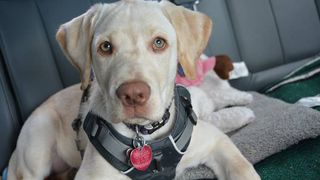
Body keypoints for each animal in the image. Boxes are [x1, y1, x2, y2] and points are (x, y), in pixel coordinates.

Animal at [7, 0, 262, 179]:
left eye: (159, 42)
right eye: (105, 47)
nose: (133, 95)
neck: (144, 134)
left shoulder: (216, 142)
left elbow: (242, 167)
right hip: (38, 139)